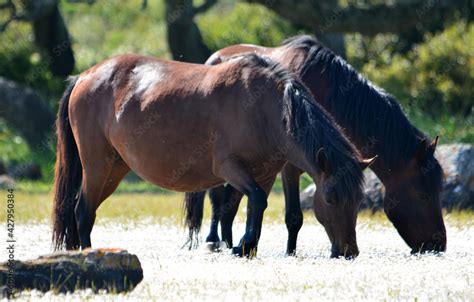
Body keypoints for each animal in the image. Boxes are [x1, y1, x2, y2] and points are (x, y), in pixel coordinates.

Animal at [52, 52, 370, 258]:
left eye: (357, 200)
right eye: (330, 199)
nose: (349, 252)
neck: (265, 107)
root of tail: (84, 76)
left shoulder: (265, 173)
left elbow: (244, 206)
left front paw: (241, 246)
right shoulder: (230, 168)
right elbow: (254, 201)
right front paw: (243, 245)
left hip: (114, 170)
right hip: (97, 166)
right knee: (83, 211)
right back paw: (88, 253)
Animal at [184, 36, 444, 258]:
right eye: (422, 194)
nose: (438, 244)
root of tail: (216, 56)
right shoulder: (289, 166)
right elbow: (293, 216)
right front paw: (288, 253)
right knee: (216, 197)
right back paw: (213, 240)